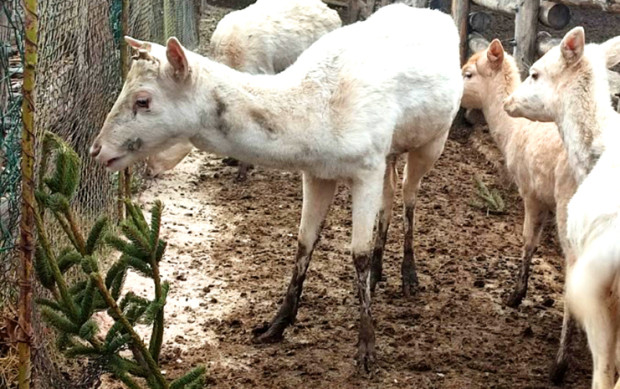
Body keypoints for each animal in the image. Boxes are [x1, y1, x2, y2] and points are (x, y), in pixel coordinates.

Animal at [89, 6, 462, 370]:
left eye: (142, 100)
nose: (97, 150)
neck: (315, 119)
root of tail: (441, 17)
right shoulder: (318, 173)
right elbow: (304, 241)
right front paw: (274, 326)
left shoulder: (367, 164)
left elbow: (358, 252)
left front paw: (367, 351)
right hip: (391, 152)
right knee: (391, 191)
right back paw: (378, 275)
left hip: (434, 138)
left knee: (410, 194)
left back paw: (409, 277)